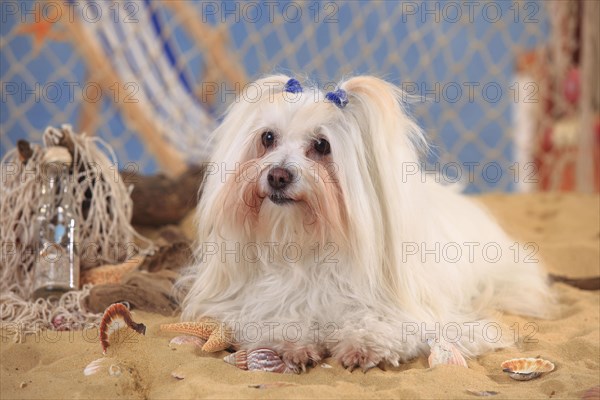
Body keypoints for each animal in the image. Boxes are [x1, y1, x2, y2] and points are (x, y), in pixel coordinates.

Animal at [180, 74, 556, 372]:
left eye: (322, 145)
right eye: (268, 138)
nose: (278, 175)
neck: (305, 244)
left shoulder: (408, 310)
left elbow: (383, 324)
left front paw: (364, 344)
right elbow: (273, 318)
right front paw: (292, 343)